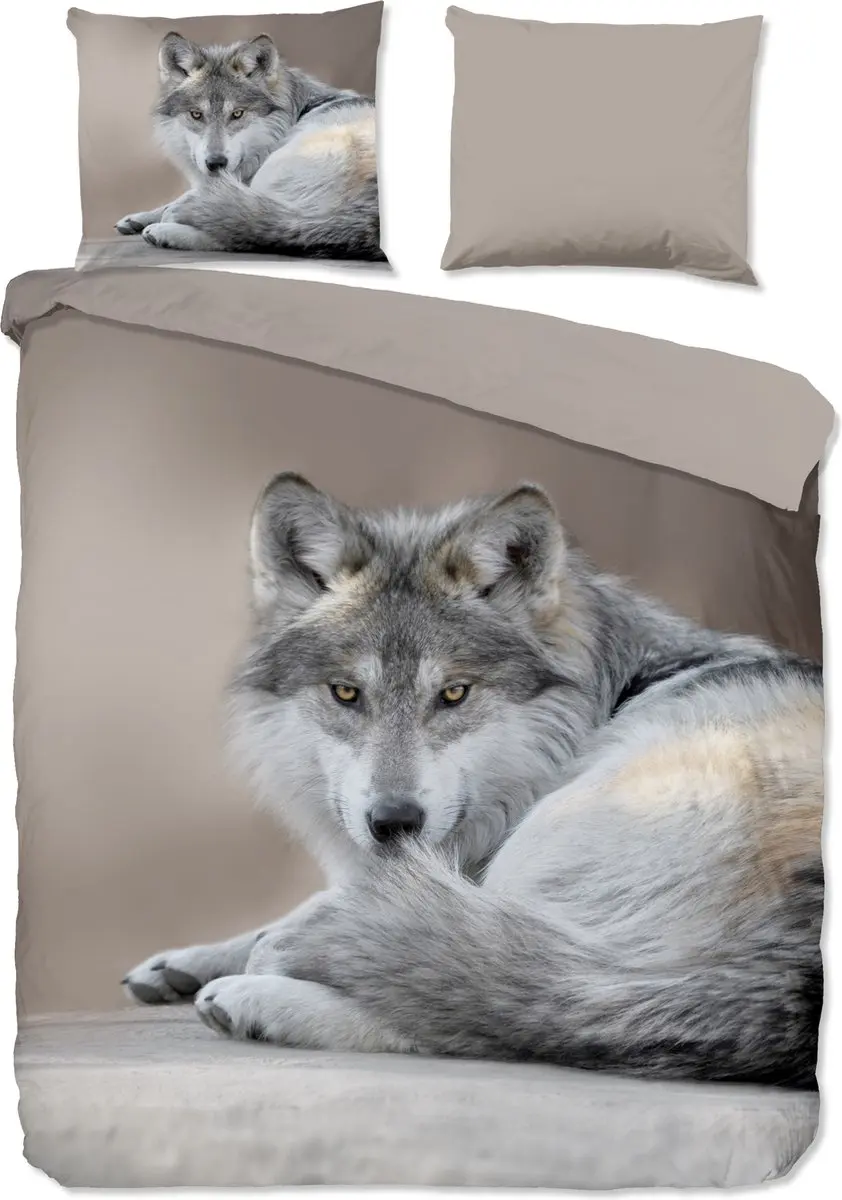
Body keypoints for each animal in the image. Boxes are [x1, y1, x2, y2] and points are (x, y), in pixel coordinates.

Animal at [116, 32, 383, 261]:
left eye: (237, 114)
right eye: (196, 114)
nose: (216, 163)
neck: (295, 113)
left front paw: (170, 213)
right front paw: (136, 218)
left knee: (252, 234)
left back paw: (165, 231)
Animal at [123, 475, 824, 1088]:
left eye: (455, 693)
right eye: (346, 693)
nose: (395, 822)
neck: (610, 693)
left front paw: (263, 954)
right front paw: (182, 960)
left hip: (556, 839)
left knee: (497, 1013)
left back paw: (256, 999)